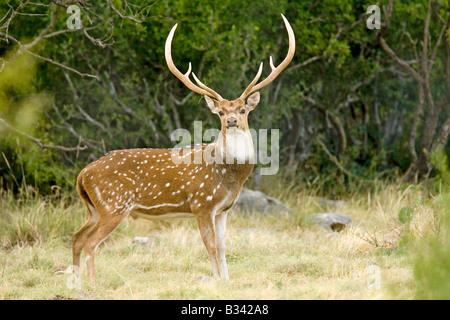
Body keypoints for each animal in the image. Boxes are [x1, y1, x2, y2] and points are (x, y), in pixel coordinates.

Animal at [72, 14, 294, 280]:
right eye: (220, 112)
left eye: (242, 110)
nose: (231, 120)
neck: (230, 175)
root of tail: (82, 175)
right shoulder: (202, 203)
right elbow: (210, 245)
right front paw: (217, 279)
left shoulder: (224, 209)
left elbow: (223, 246)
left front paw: (226, 280)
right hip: (114, 204)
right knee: (90, 242)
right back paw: (93, 283)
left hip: (94, 208)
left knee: (76, 238)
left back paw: (75, 281)